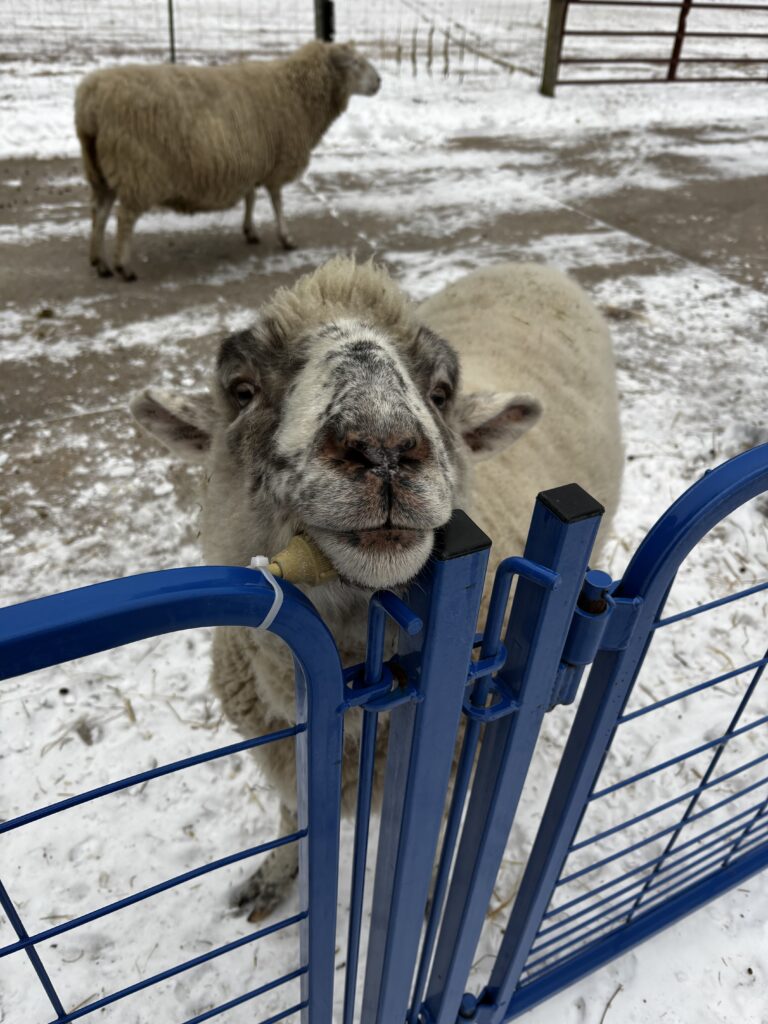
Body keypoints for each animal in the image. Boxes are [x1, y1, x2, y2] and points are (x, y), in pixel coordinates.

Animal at [74, 42, 380, 281]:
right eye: (355, 63)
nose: (379, 81)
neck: (296, 91)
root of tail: (90, 103)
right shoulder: (276, 163)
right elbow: (277, 202)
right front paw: (286, 238)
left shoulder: (251, 160)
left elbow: (250, 197)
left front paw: (250, 231)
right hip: (138, 170)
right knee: (124, 218)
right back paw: (123, 267)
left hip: (99, 170)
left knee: (99, 212)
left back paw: (99, 262)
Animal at [130, 256, 623, 919]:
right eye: (242, 390)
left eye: (440, 392)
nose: (385, 446)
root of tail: (532, 265)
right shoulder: (290, 753)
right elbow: (292, 818)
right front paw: (273, 879)